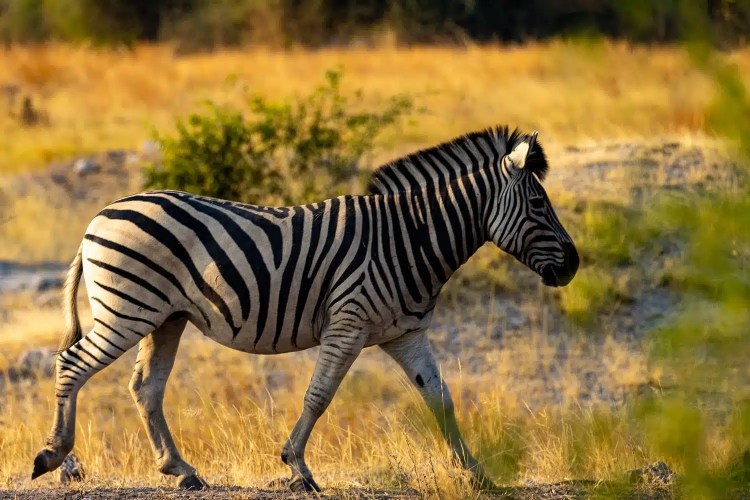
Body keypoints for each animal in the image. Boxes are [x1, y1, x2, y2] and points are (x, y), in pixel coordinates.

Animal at [32, 126, 578, 491]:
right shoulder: (348, 324)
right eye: (538, 205)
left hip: (165, 318)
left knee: (145, 386)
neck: (410, 239)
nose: (573, 265)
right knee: (72, 364)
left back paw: (181, 471)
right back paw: (54, 455)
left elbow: (441, 398)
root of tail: (99, 216)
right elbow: (319, 397)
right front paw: (297, 467)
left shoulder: (406, 333)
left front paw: (477, 472)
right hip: (128, 310)